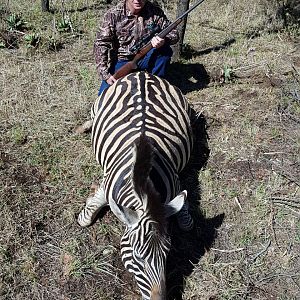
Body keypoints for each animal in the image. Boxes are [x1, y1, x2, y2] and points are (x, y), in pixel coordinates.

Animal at [78, 71, 193, 298]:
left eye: (167, 253)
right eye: (138, 257)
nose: (160, 299)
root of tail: (141, 73)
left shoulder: (175, 185)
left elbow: (186, 222)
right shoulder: (107, 184)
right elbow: (86, 217)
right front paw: (87, 205)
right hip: (98, 104)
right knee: (91, 116)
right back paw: (85, 126)